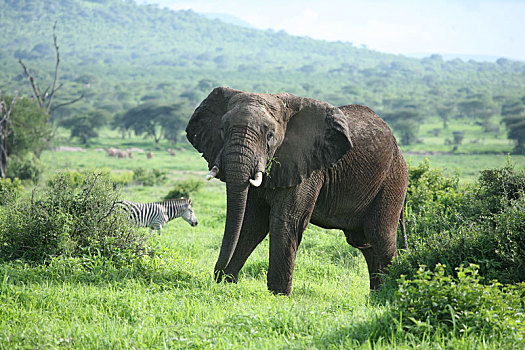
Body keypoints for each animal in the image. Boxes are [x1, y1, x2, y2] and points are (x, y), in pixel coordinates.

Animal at [186, 87, 408, 296]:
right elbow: (251, 222)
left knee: (380, 237)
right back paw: (376, 296)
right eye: (222, 130)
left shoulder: (307, 165)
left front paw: (278, 296)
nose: (217, 273)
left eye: (270, 136)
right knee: (364, 242)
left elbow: (286, 220)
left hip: (393, 180)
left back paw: (389, 294)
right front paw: (227, 284)